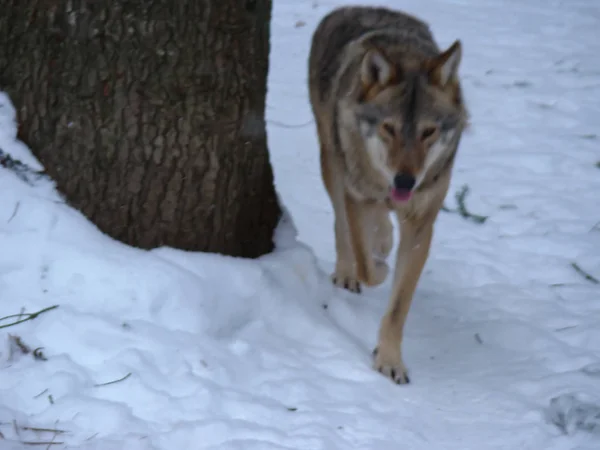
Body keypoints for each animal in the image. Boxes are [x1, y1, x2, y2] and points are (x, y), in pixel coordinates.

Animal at [310, 4, 468, 384]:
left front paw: (390, 361)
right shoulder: (355, 195)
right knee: (342, 226)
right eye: (389, 128)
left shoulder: (422, 224)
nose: (405, 181)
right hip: (331, 163)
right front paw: (377, 263)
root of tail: (354, 7)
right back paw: (352, 267)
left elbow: (399, 306)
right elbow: (367, 264)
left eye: (428, 132)